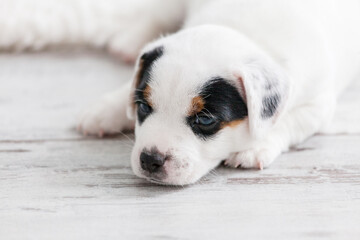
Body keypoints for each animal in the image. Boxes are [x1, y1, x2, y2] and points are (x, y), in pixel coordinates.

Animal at [3, 0, 360, 186]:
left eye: (205, 120)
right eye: (143, 107)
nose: (150, 160)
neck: (245, 31)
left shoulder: (318, 104)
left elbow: (286, 122)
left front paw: (256, 147)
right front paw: (108, 107)